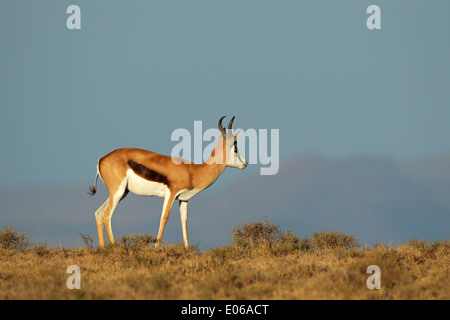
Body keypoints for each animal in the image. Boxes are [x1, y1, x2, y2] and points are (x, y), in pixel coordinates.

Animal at [87, 116, 246, 249]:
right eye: (235, 148)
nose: (245, 163)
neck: (192, 170)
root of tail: (102, 159)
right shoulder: (171, 193)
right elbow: (164, 218)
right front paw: (157, 248)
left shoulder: (183, 199)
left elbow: (184, 220)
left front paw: (187, 249)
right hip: (118, 191)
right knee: (106, 215)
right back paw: (115, 246)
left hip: (121, 192)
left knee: (98, 213)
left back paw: (103, 248)